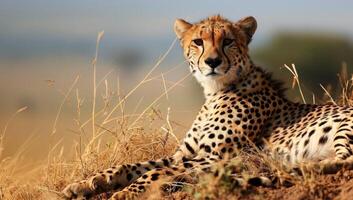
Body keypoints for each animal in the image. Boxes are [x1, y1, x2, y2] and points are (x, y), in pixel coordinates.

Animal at [62, 14, 352, 199]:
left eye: (228, 41)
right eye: (198, 41)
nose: (212, 62)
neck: (214, 92)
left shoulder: (217, 156)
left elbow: (155, 171)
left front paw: (125, 193)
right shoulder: (182, 155)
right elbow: (132, 166)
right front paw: (89, 182)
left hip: (341, 127)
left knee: (342, 162)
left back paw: (289, 167)